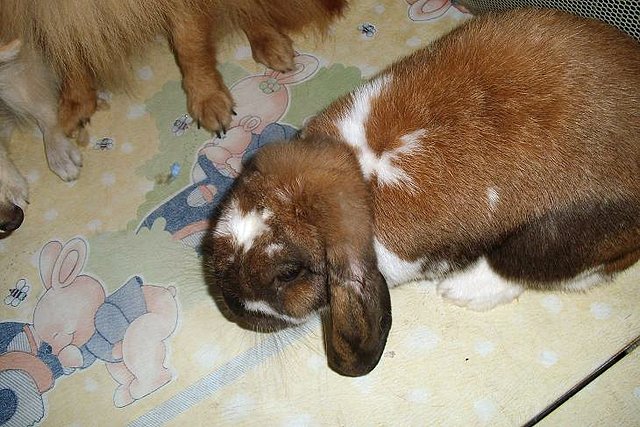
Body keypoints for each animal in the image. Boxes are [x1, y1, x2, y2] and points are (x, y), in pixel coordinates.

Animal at [0, 0, 348, 137]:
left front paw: (206, 96)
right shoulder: (43, 12)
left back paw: (269, 41)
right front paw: (76, 100)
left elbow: (189, 45)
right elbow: (67, 52)